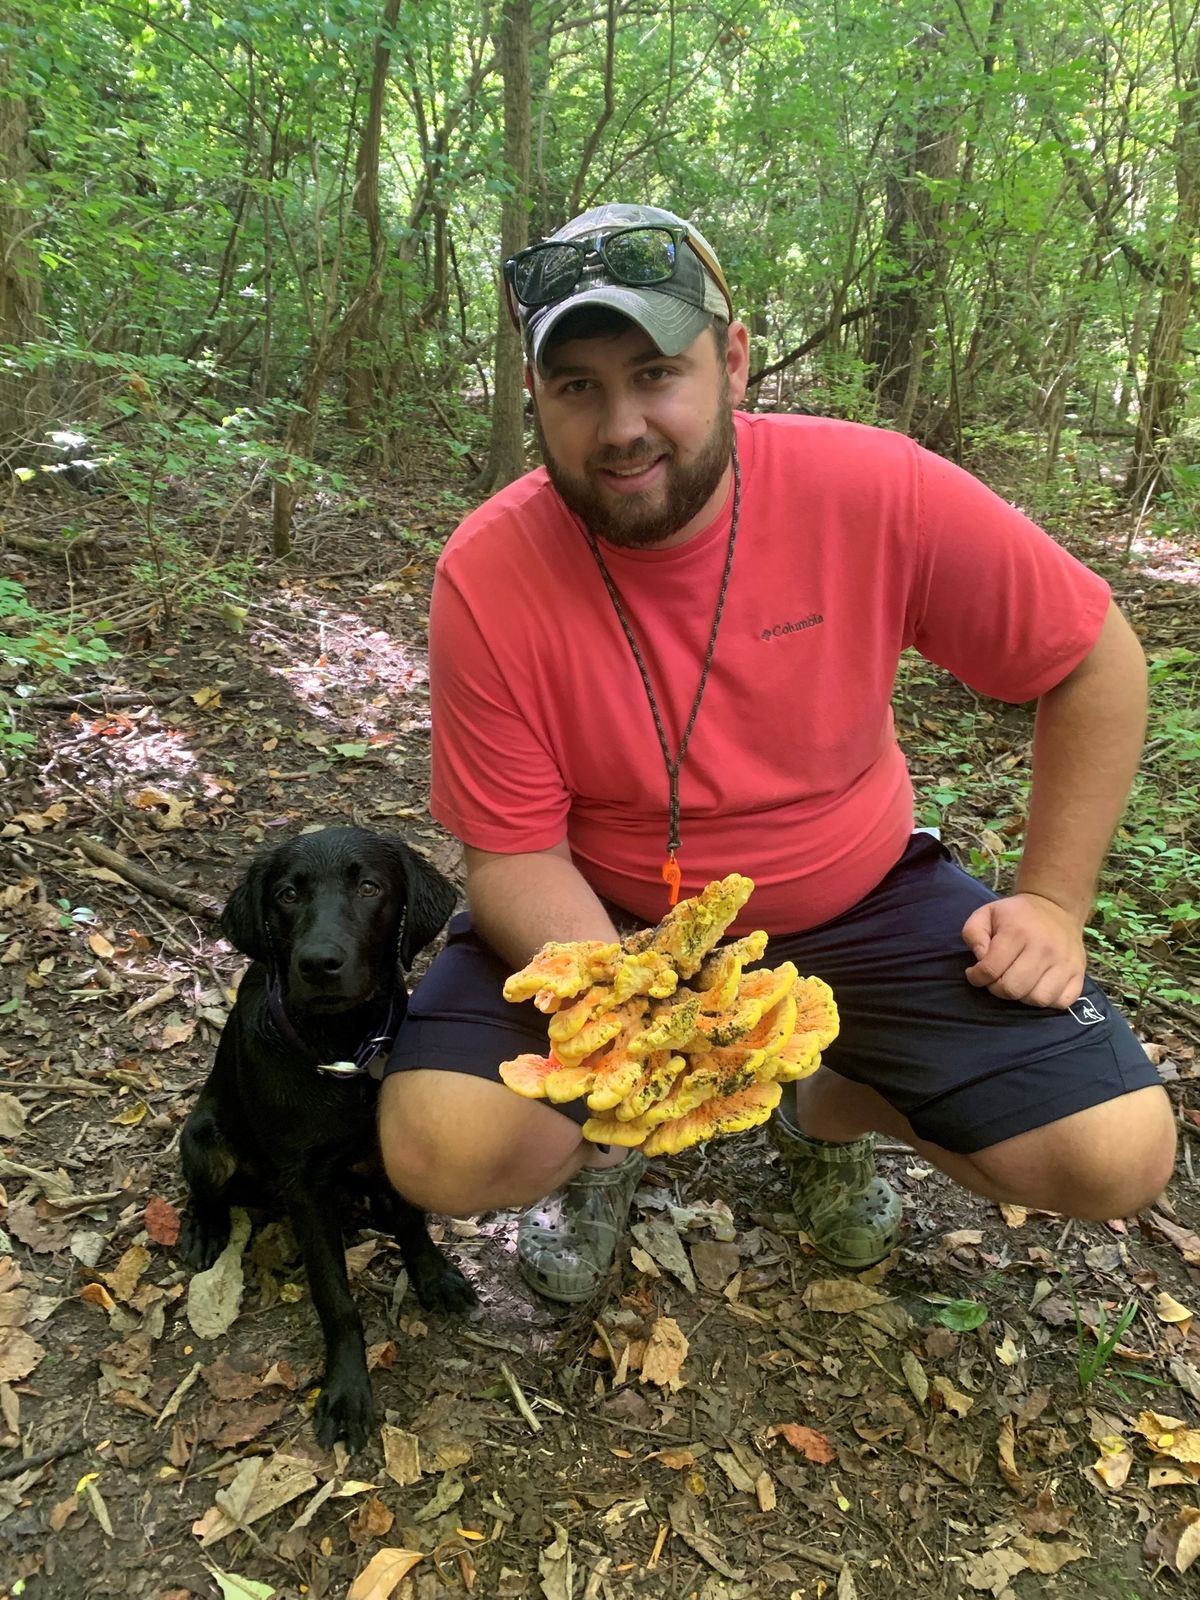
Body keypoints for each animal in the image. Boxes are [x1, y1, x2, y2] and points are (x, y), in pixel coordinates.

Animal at [180, 832, 476, 1459]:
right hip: (205, 1138)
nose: (319, 964)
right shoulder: (305, 1185)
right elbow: (335, 1299)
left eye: (369, 887)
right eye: (288, 895)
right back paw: (205, 1228)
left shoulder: (392, 1142)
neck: (341, 1050)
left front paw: (434, 1275)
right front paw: (345, 1394)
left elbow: (413, 1221)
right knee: (208, 1186)